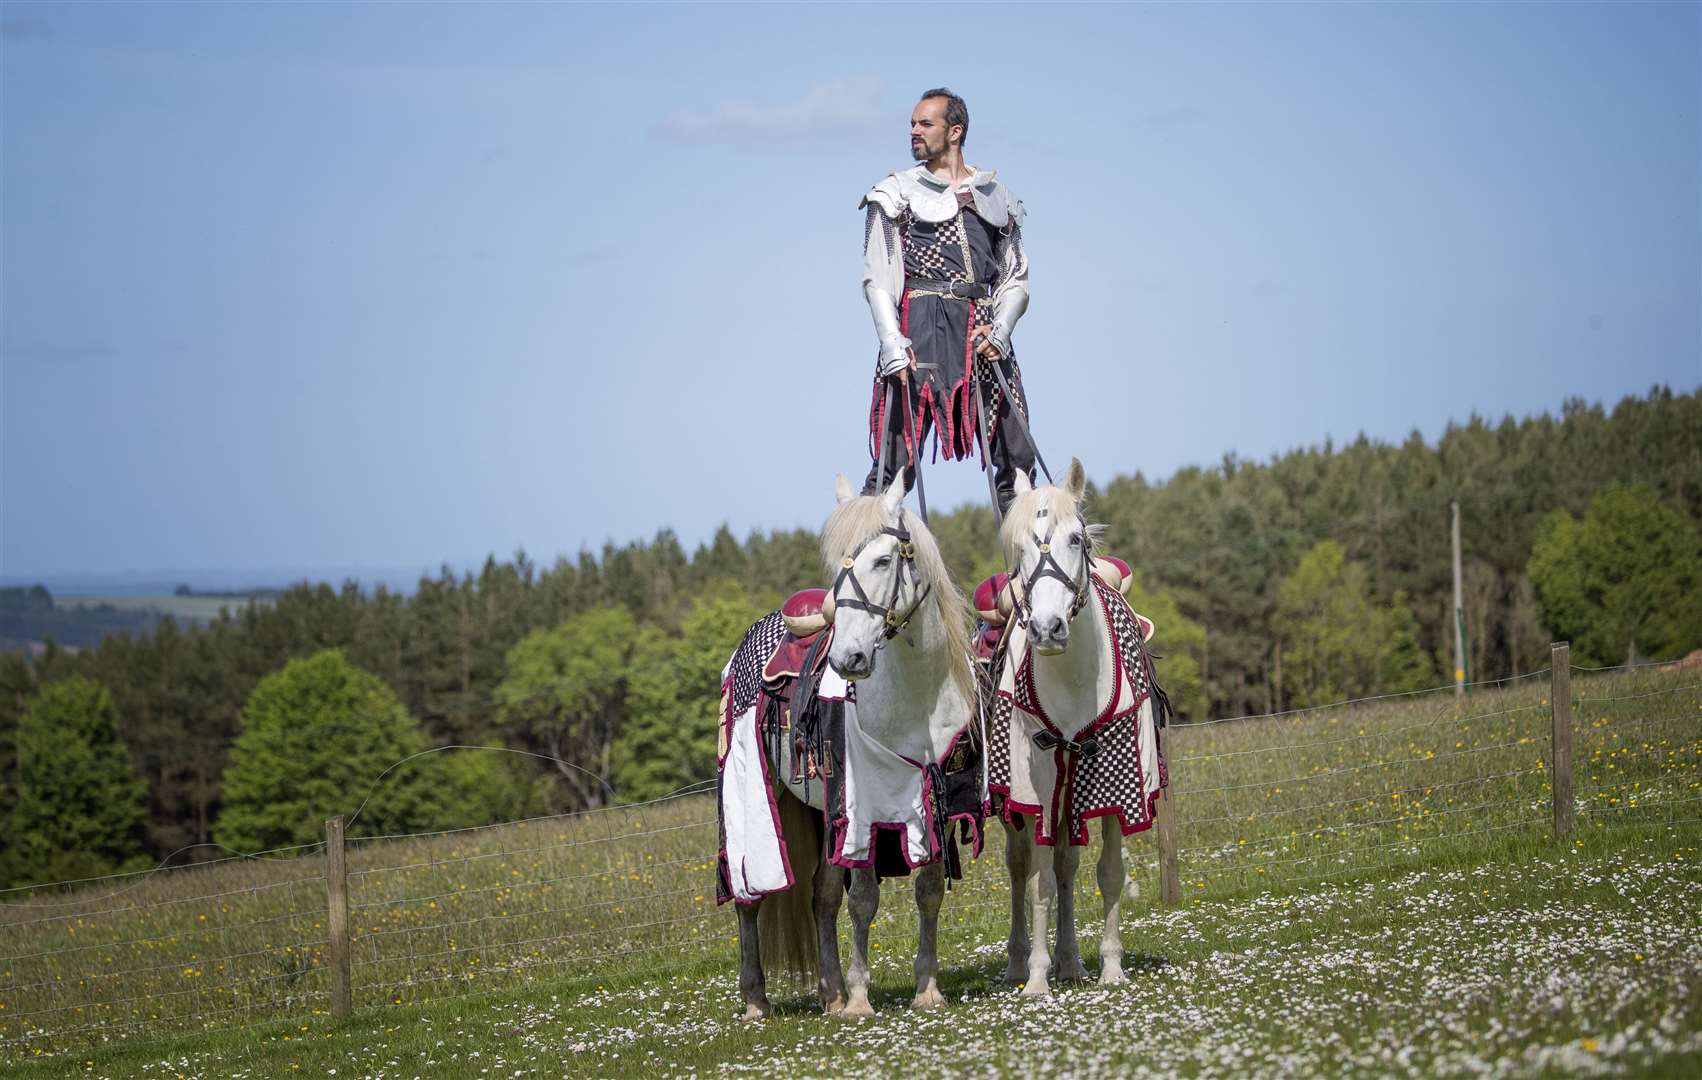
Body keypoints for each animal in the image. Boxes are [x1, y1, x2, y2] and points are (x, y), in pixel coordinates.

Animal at [728, 476, 980, 1020]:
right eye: (837, 567)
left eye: (883, 560)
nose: (848, 658)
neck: (918, 695)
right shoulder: (865, 811)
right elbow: (864, 899)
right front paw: (863, 998)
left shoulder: (937, 804)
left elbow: (929, 891)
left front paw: (927, 988)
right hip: (751, 793)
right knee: (749, 892)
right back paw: (757, 999)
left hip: (820, 811)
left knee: (821, 898)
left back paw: (831, 991)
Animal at [993, 455, 1164, 1000]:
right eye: (1020, 546)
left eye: (1076, 538)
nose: (1047, 629)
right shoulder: (1040, 784)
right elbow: (1038, 883)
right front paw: (1036, 978)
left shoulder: (1119, 781)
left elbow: (1108, 873)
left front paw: (1110, 966)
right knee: (1022, 866)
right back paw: (1020, 962)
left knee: (1069, 864)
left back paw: (1071, 962)